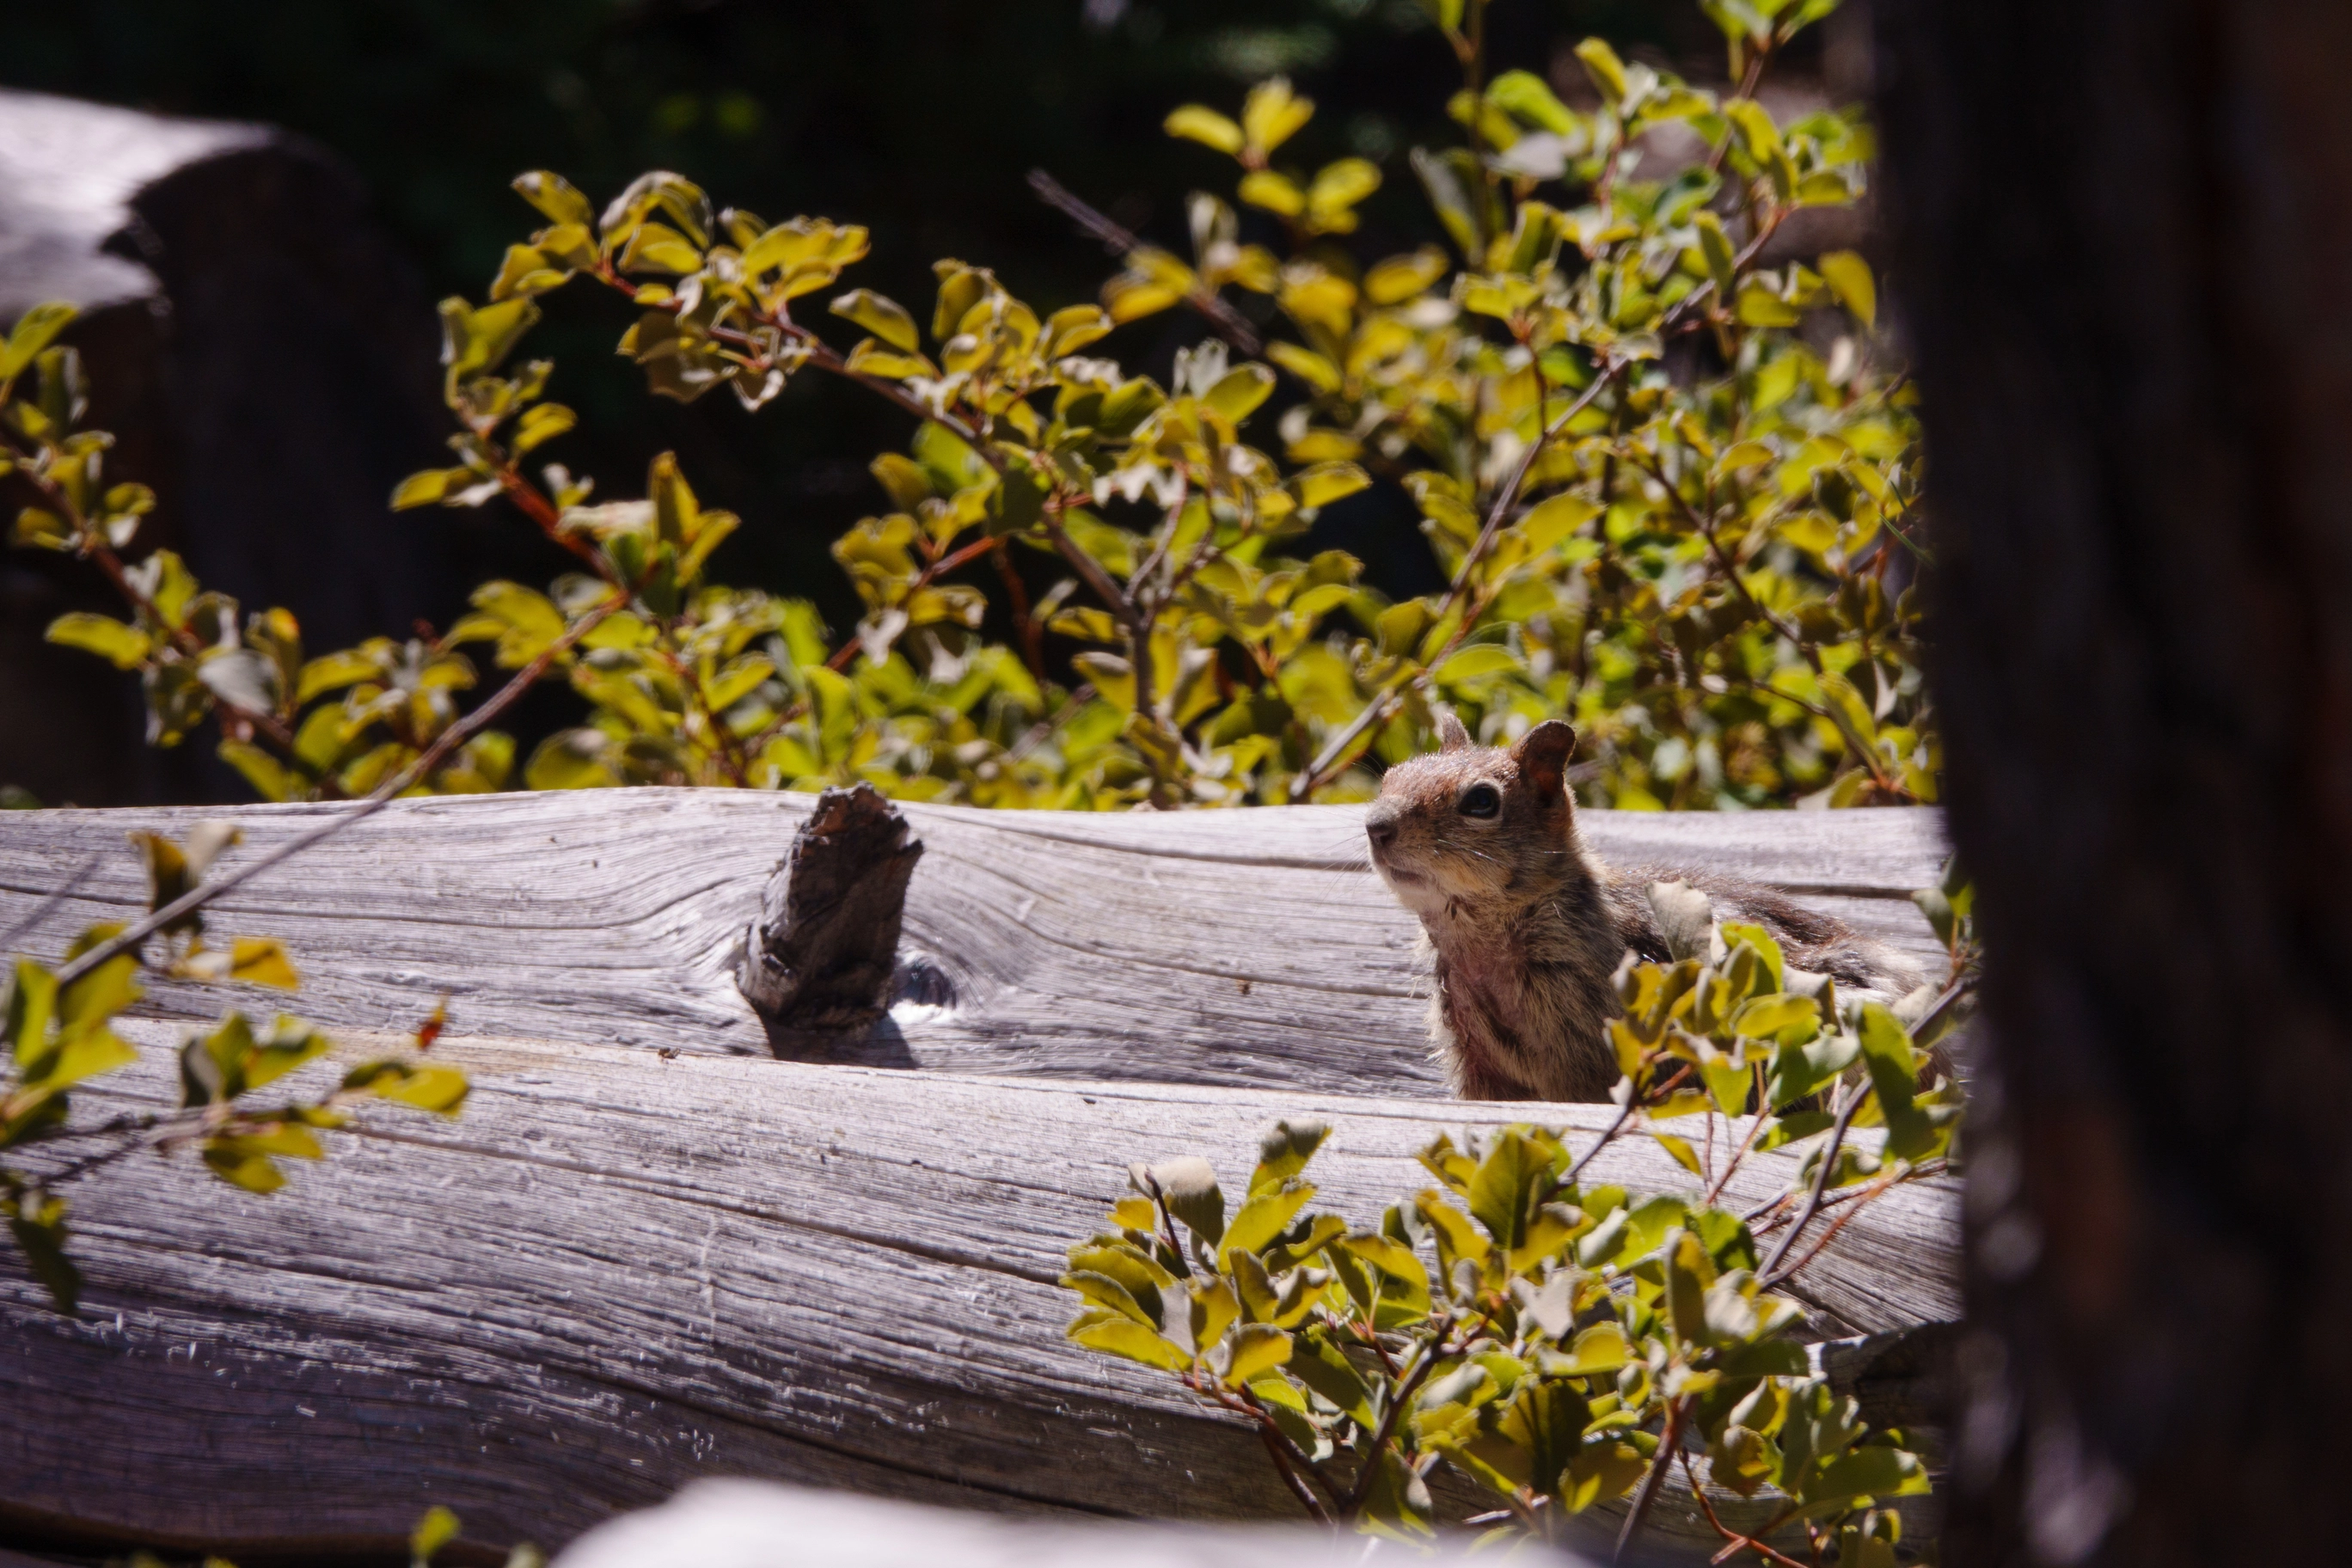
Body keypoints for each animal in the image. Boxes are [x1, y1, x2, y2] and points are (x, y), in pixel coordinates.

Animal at [1363, 714, 1927, 1102]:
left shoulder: (1592, 1043)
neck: (1478, 946)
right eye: (1391, 775)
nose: (1375, 825)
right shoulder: (1477, 1059)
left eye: (1481, 802)